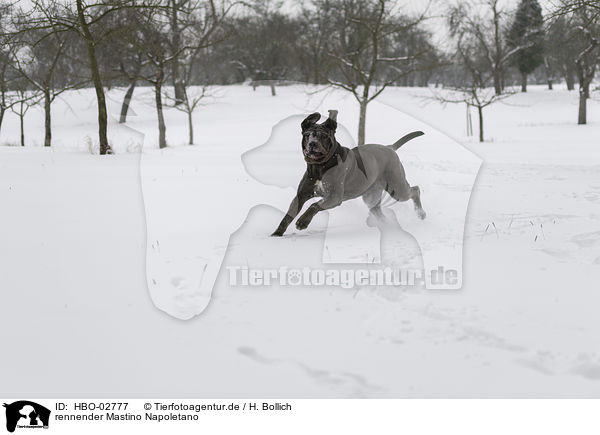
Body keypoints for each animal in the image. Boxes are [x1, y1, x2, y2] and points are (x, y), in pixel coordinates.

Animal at [270, 110, 424, 237]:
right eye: (307, 135)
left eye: (323, 136)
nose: (312, 144)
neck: (320, 166)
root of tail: (390, 148)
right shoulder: (301, 195)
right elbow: (287, 216)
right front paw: (276, 234)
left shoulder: (334, 196)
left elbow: (314, 205)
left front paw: (302, 222)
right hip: (371, 195)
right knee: (377, 210)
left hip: (396, 188)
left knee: (415, 190)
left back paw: (421, 214)